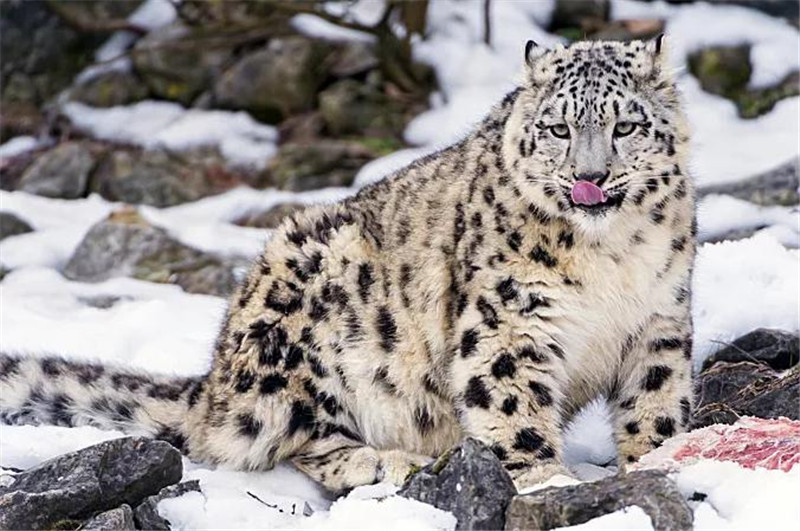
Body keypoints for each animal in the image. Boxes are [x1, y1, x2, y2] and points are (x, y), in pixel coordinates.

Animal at [0, 39, 692, 496]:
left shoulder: (660, 319)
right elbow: (512, 403)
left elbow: (656, 398)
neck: (610, 259)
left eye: (626, 126)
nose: (589, 177)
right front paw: (548, 480)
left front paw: (659, 460)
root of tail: (214, 382)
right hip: (307, 325)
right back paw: (387, 463)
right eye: (557, 128)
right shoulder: (507, 324)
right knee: (283, 439)